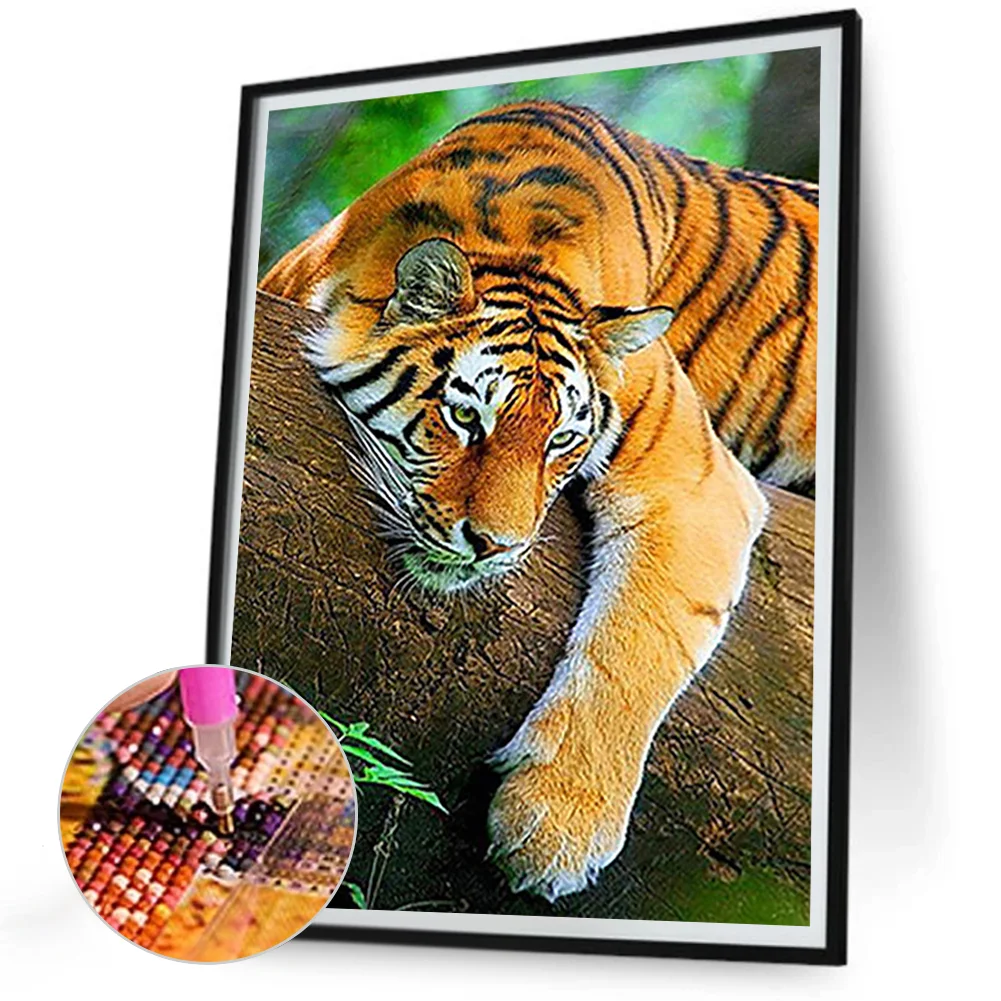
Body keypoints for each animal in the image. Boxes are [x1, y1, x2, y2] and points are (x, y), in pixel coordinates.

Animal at [261, 100, 818, 901]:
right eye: (467, 418)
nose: (493, 545)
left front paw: (555, 828)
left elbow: (636, 645)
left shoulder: (694, 480)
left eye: (561, 441)